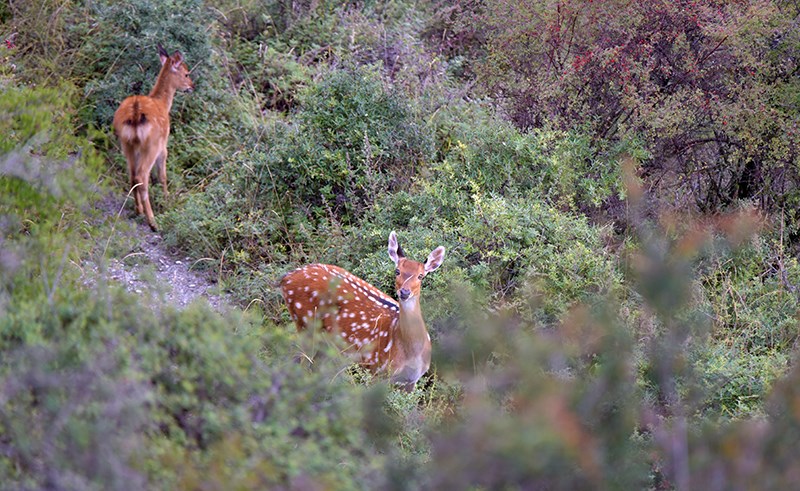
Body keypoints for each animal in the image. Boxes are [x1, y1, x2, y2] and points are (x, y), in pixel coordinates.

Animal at [111, 43, 194, 233]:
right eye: (186, 73)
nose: (192, 86)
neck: (163, 103)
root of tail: (135, 115)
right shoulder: (163, 146)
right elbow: (163, 175)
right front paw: (167, 199)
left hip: (127, 144)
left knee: (132, 174)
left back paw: (138, 210)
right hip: (151, 146)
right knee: (142, 176)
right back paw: (153, 222)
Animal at [280, 232, 444, 392]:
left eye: (421, 276)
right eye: (397, 271)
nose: (404, 292)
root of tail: (286, 278)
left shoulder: (412, 381)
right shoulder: (375, 368)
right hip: (304, 321)